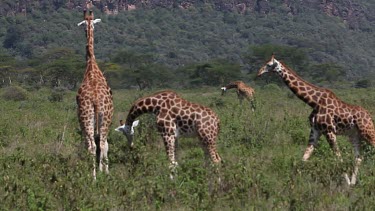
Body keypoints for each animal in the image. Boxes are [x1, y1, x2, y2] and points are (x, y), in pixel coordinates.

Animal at [258, 54, 375, 185]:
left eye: (269, 64)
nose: (259, 73)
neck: (314, 102)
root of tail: (369, 116)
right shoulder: (315, 130)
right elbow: (304, 157)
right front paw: (293, 182)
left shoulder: (329, 131)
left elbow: (338, 157)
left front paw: (345, 183)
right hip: (354, 135)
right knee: (358, 157)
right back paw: (353, 183)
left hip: (367, 132)